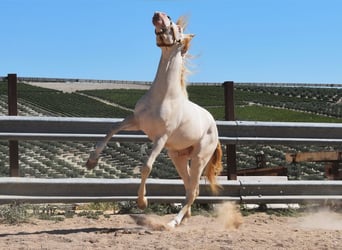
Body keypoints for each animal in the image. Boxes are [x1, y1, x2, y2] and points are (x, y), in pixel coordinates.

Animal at [87, 11, 223, 227]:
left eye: (178, 27)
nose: (160, 15)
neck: (163, 96)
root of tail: (214, 128)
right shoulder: (136, 121)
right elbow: (112, 129)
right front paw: (91, 162)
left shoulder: (161, 137)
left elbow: (146, 167)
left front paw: (142, 202)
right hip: (178, 157)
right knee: (190, 188)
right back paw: (185, 217)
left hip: (199, 158)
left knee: (193, 190)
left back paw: (173, 222)